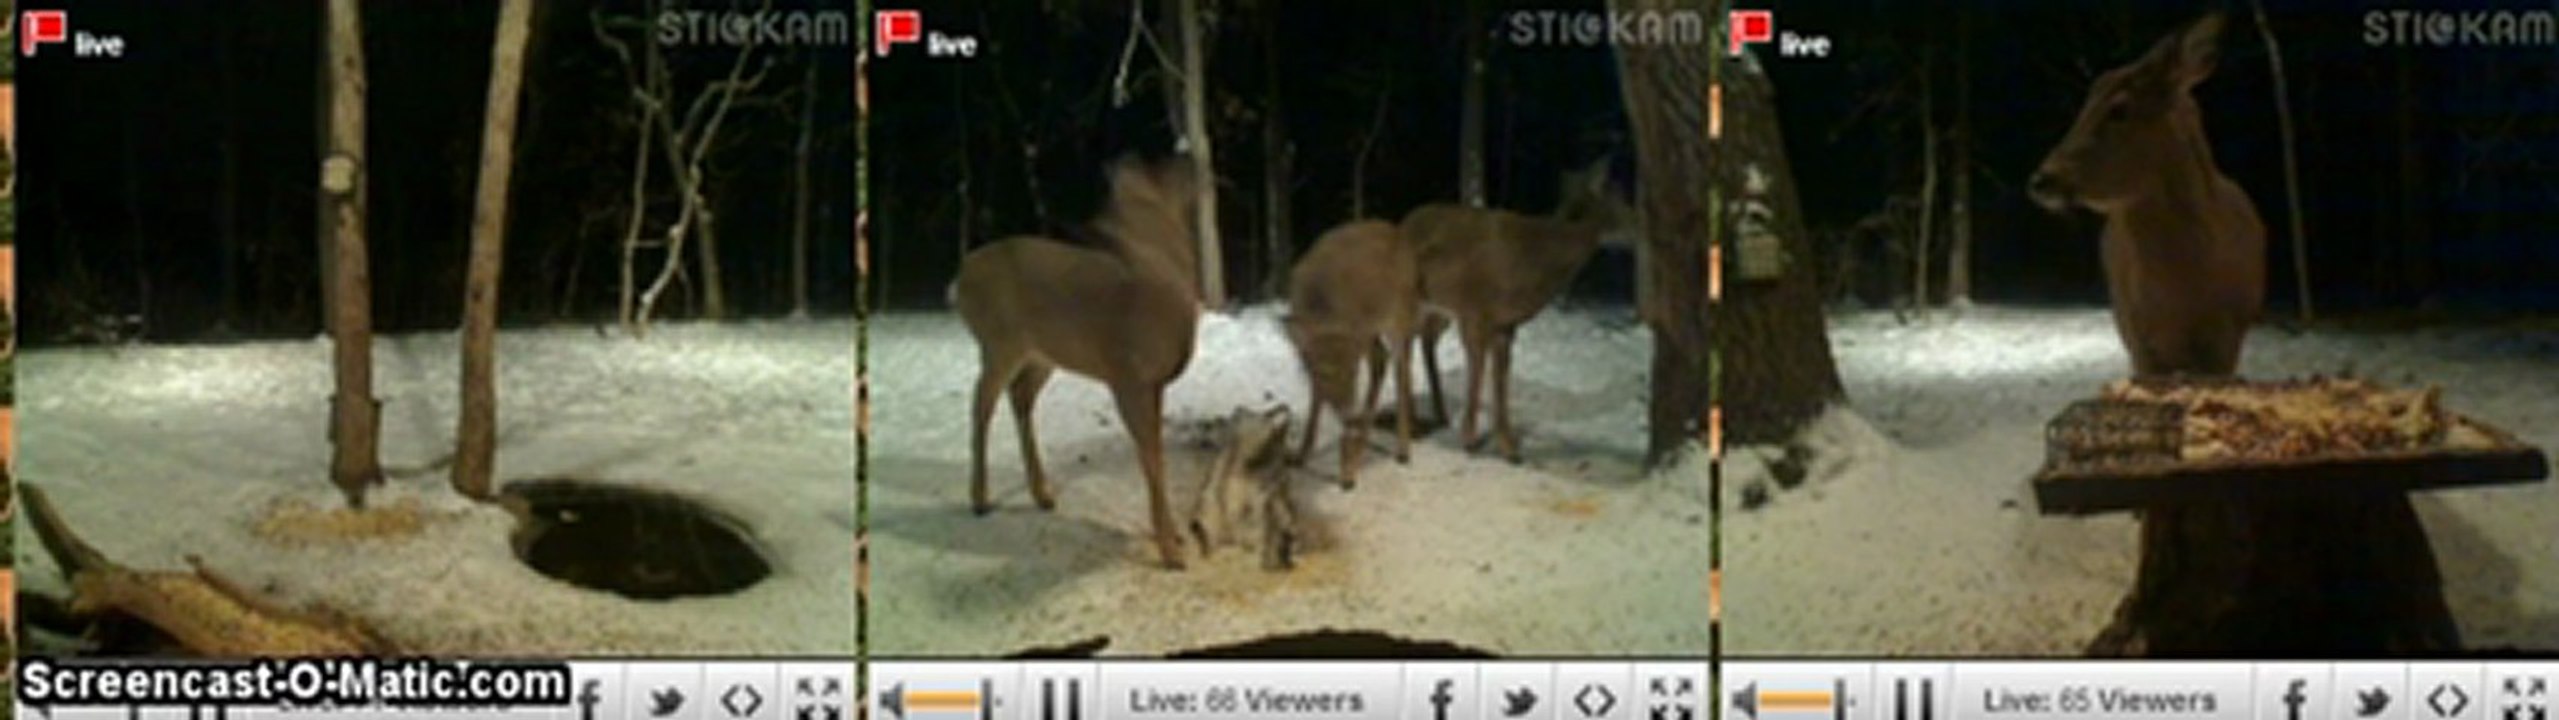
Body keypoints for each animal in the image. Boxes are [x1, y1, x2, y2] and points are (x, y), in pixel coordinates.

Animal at [952, 156, 1202, 569]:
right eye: (1157, 165)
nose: (1191, 158)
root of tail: (959, 280)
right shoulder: (1127, 376)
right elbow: (1150, 458)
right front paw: (1170, 550)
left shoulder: (1154, 384)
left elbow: (1156, 455)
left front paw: (1174, 537)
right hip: (999, 342)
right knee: (981, 404)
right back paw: (980, 498)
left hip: (1041, 354)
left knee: (1019, 397)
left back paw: (1042, 494)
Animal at [1282, 218, 1420, 490]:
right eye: (1325, 372)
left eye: (1354, 373)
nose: (1350, 415)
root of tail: (1395, 231)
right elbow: (1316, 395)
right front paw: (1300, 455)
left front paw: (1347, 473)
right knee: (1382, 360)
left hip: (1401, 315)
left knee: (1401, 368)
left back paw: (1401, 449)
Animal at [1400, 161, 1625, 463]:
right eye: (1621, 199)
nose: (1640, 227)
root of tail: (1405, 222)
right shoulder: (1475, 311)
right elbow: (1478, 369)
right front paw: (1470, 440)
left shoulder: (1506, 324)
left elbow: (1501, 376)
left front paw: (1509, 447)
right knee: (1404, 346)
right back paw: (1413, 426)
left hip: (1438, 310)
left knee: (1424, 341)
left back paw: (1440, 415)